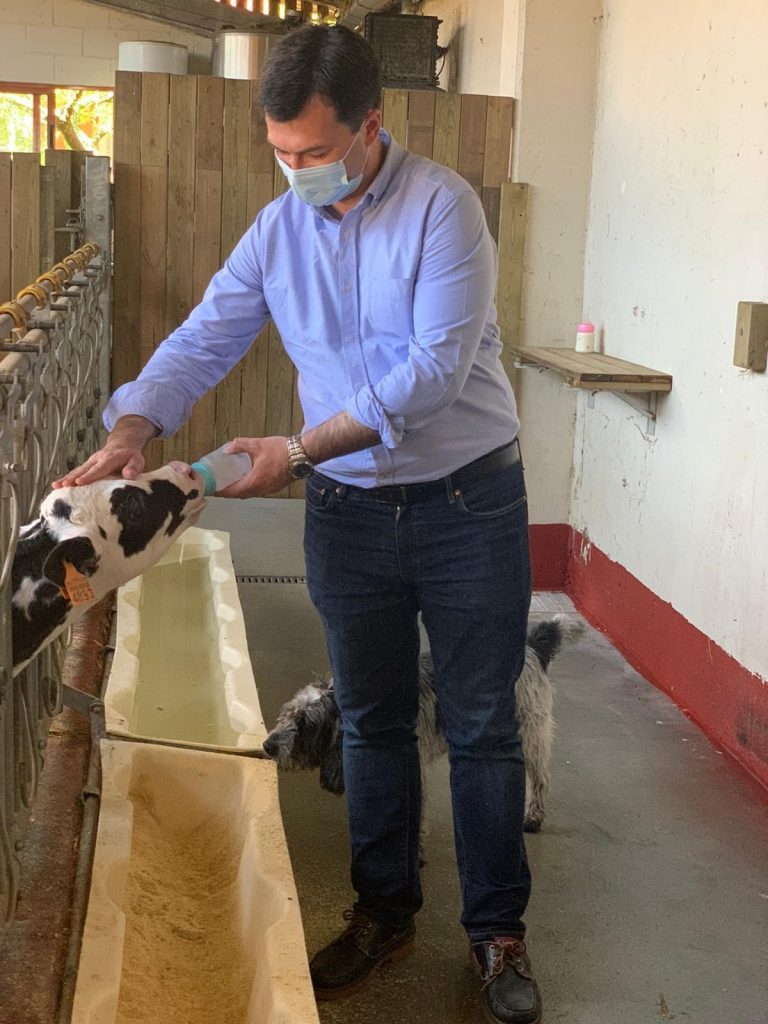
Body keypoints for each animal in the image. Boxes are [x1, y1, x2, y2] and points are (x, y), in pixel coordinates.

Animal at [262, 614, 585, 831]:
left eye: (306, 723)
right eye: (287, 713)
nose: (267, 745)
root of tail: (531, 647)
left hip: (530, 734)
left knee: (539, 778)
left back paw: (533, 816)